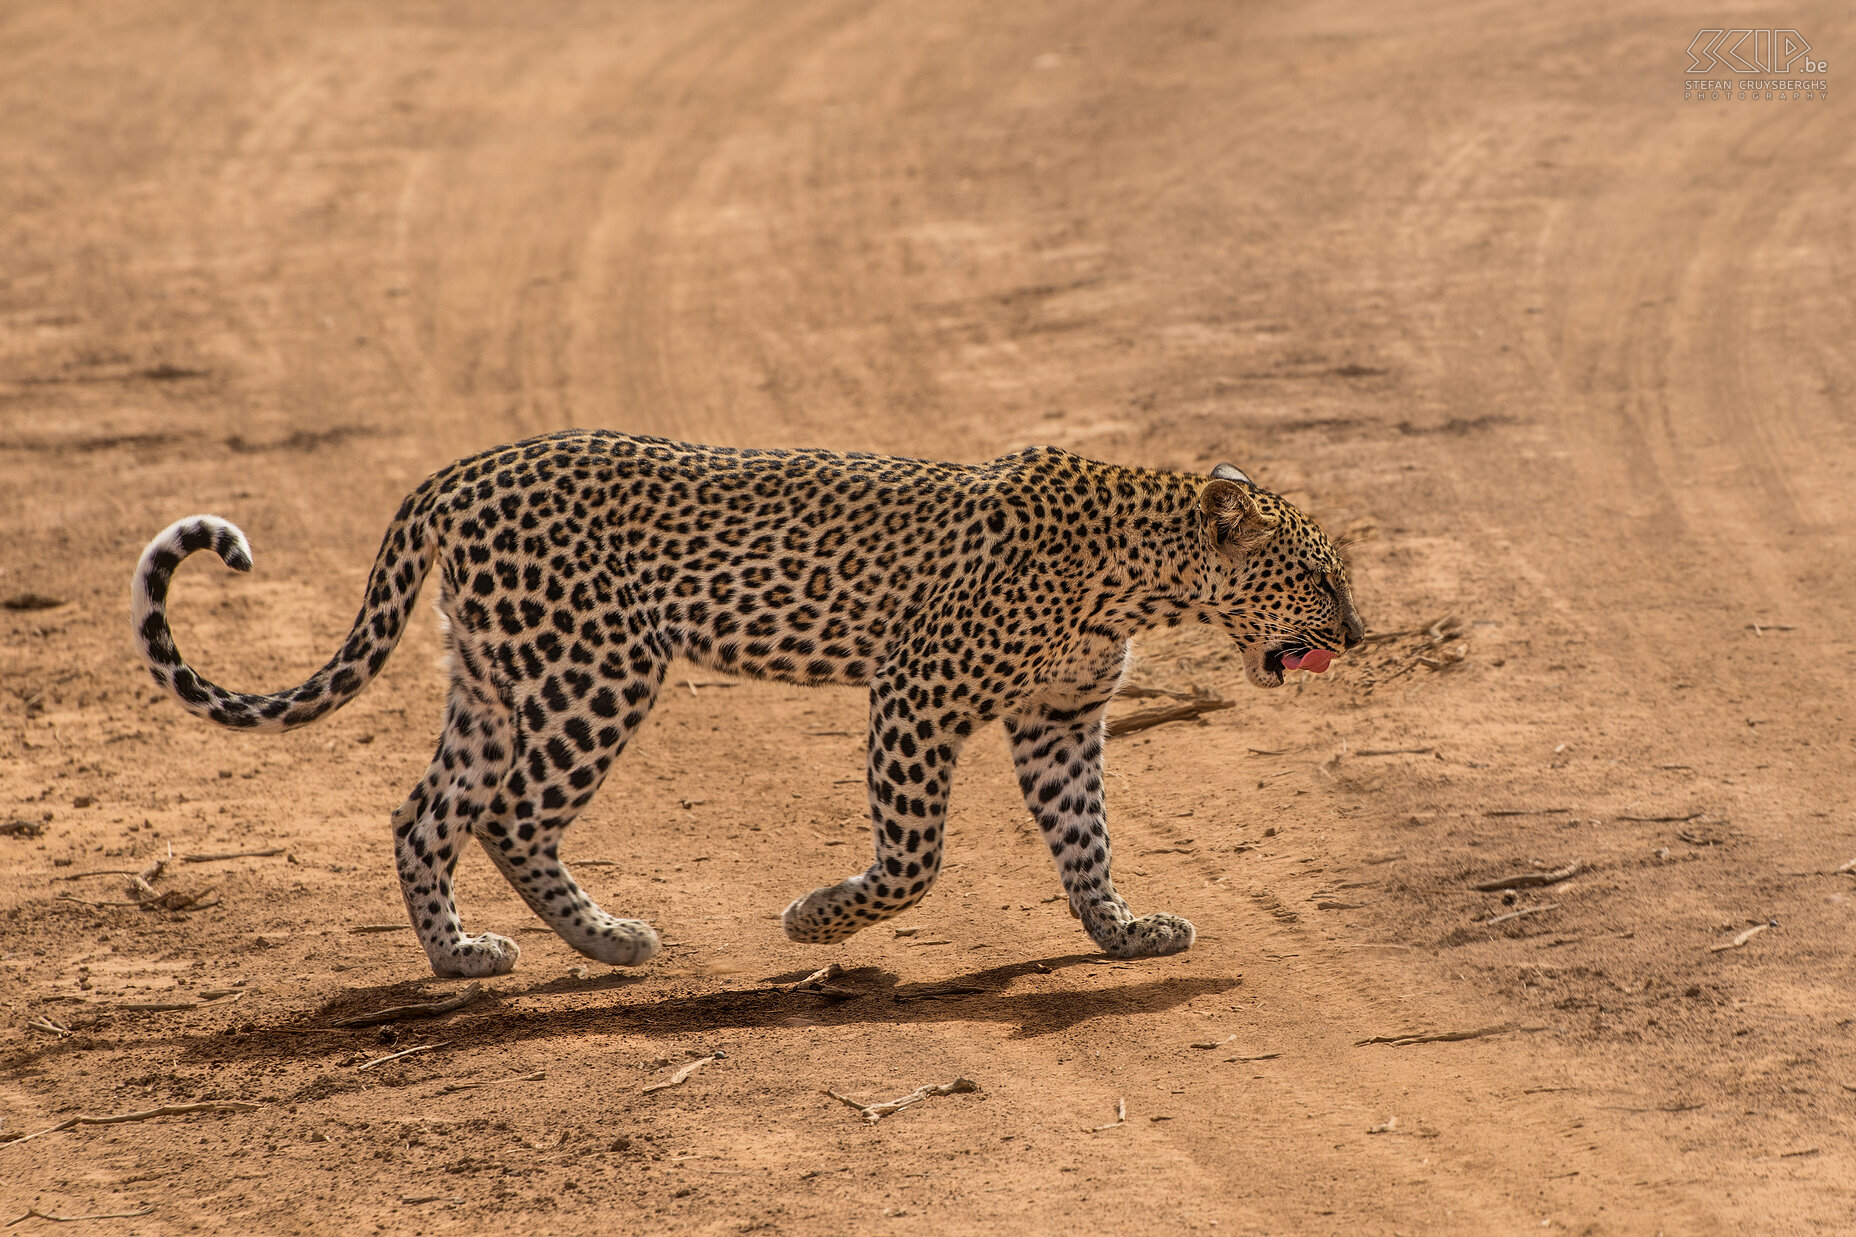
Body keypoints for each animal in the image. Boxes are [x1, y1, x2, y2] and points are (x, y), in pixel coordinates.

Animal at [127, 429, 1351, 980]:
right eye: (1319, 577)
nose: (1359, 634)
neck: (1144, 570)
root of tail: (458, 471)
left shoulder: (1057, 718)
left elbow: (1085, 840)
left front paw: (1123, 931)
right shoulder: (914, 689)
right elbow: (915, 858)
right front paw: (816, 920)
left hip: (494, 676)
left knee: (423, 812)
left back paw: (463, 956)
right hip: (596, 666)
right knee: (511, 814)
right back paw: (610, 939)